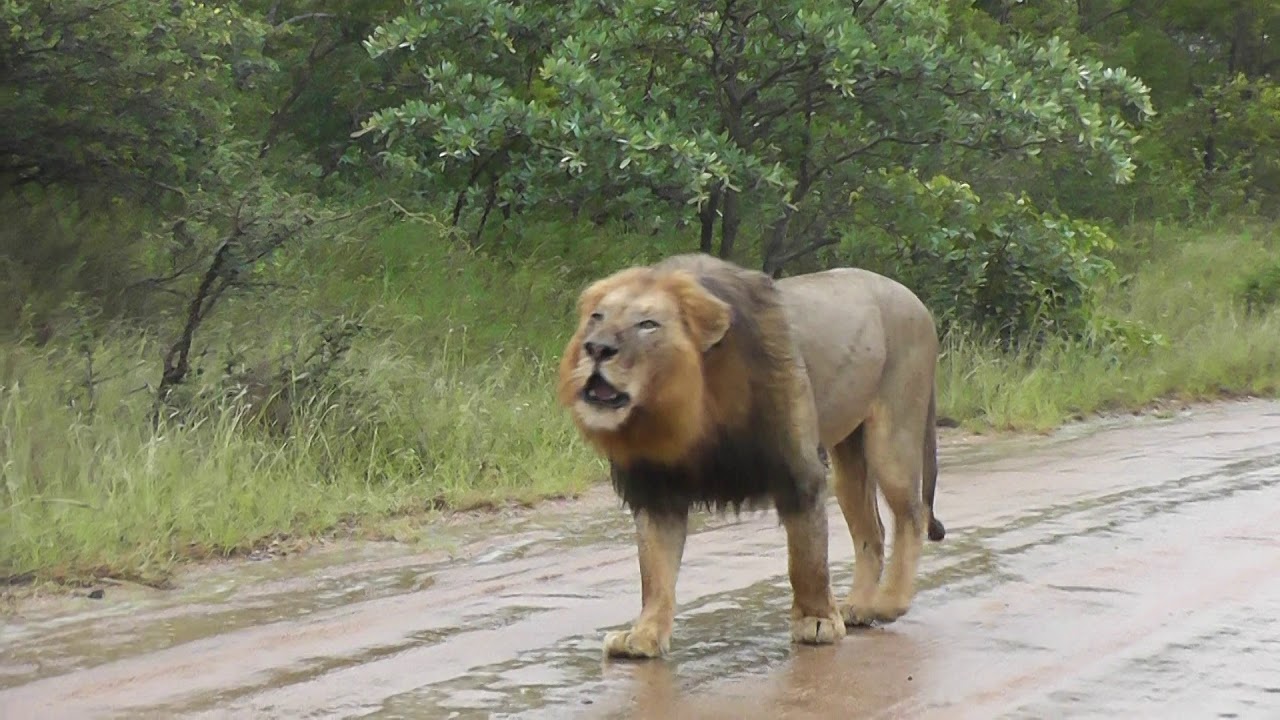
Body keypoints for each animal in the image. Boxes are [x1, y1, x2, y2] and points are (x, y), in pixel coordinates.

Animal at [557, 253, 945, 659]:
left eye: (648, 324)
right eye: (597, 317)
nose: (596, 348)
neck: (689, 408)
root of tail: (915, 300)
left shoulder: (797, 467)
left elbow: (806, 557)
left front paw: (817, 621)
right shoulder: (656, 486)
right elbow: (655, 571)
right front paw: (643, 635)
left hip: (894, 434)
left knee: (912, 514)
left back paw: (887, 604)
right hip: (850, 457)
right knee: (872, 530)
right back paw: (860, 606)